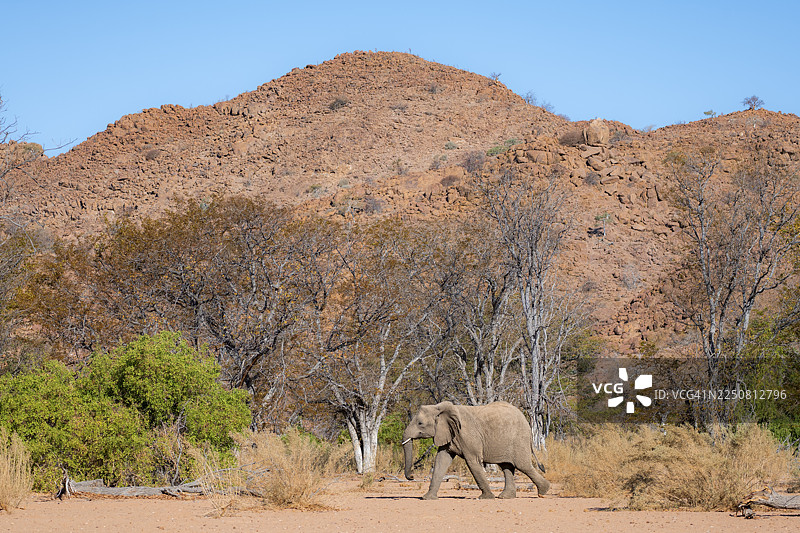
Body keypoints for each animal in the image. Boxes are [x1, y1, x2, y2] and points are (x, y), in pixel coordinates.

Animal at [402, 400, 550, 500]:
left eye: (420, 423)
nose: (412, 476)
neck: (440, 408)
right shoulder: (447, 433)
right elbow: (441, 461)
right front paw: (427, 498)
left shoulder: (467, 435)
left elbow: (472, 462)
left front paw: (485, 498)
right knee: (507, 466)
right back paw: (505, 497)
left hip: (519, 438)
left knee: (523, 466)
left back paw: (544, 491)